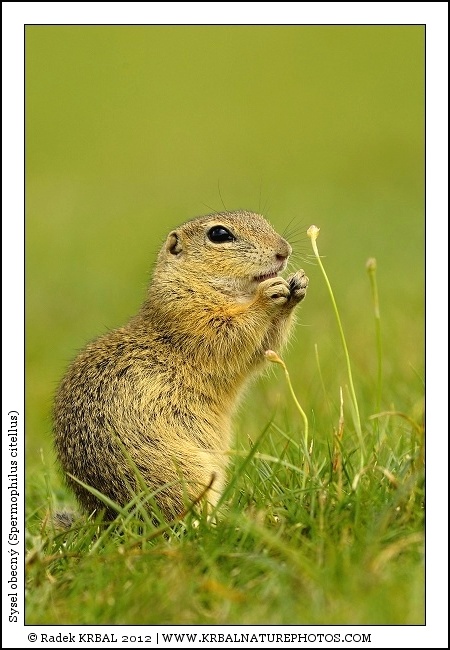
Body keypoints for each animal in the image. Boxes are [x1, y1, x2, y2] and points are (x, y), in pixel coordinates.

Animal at [53, 210, 309, 522]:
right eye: (219, 234)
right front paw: (266, 295)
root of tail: (108, 518)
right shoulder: (191, 317)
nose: (284, 250)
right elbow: (232, 334)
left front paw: (298, 285)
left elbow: (262, 348)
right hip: (181, 470)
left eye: (262, 219)